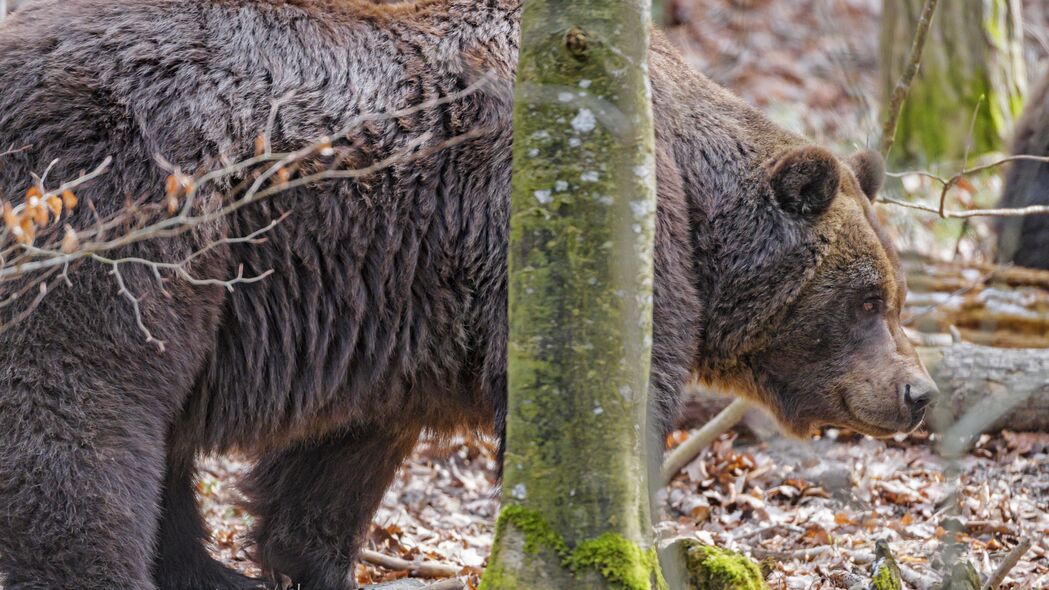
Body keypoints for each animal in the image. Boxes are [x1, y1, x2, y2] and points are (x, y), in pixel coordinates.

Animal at [0, 1, 935, 587]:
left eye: (891, 296)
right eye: (866, 299)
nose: (917, 392)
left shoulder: (386, 308)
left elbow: (338, 462)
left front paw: (309, 562)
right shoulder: (570, 241)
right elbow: (610, 391)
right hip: (115, 211)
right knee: (81, 408)